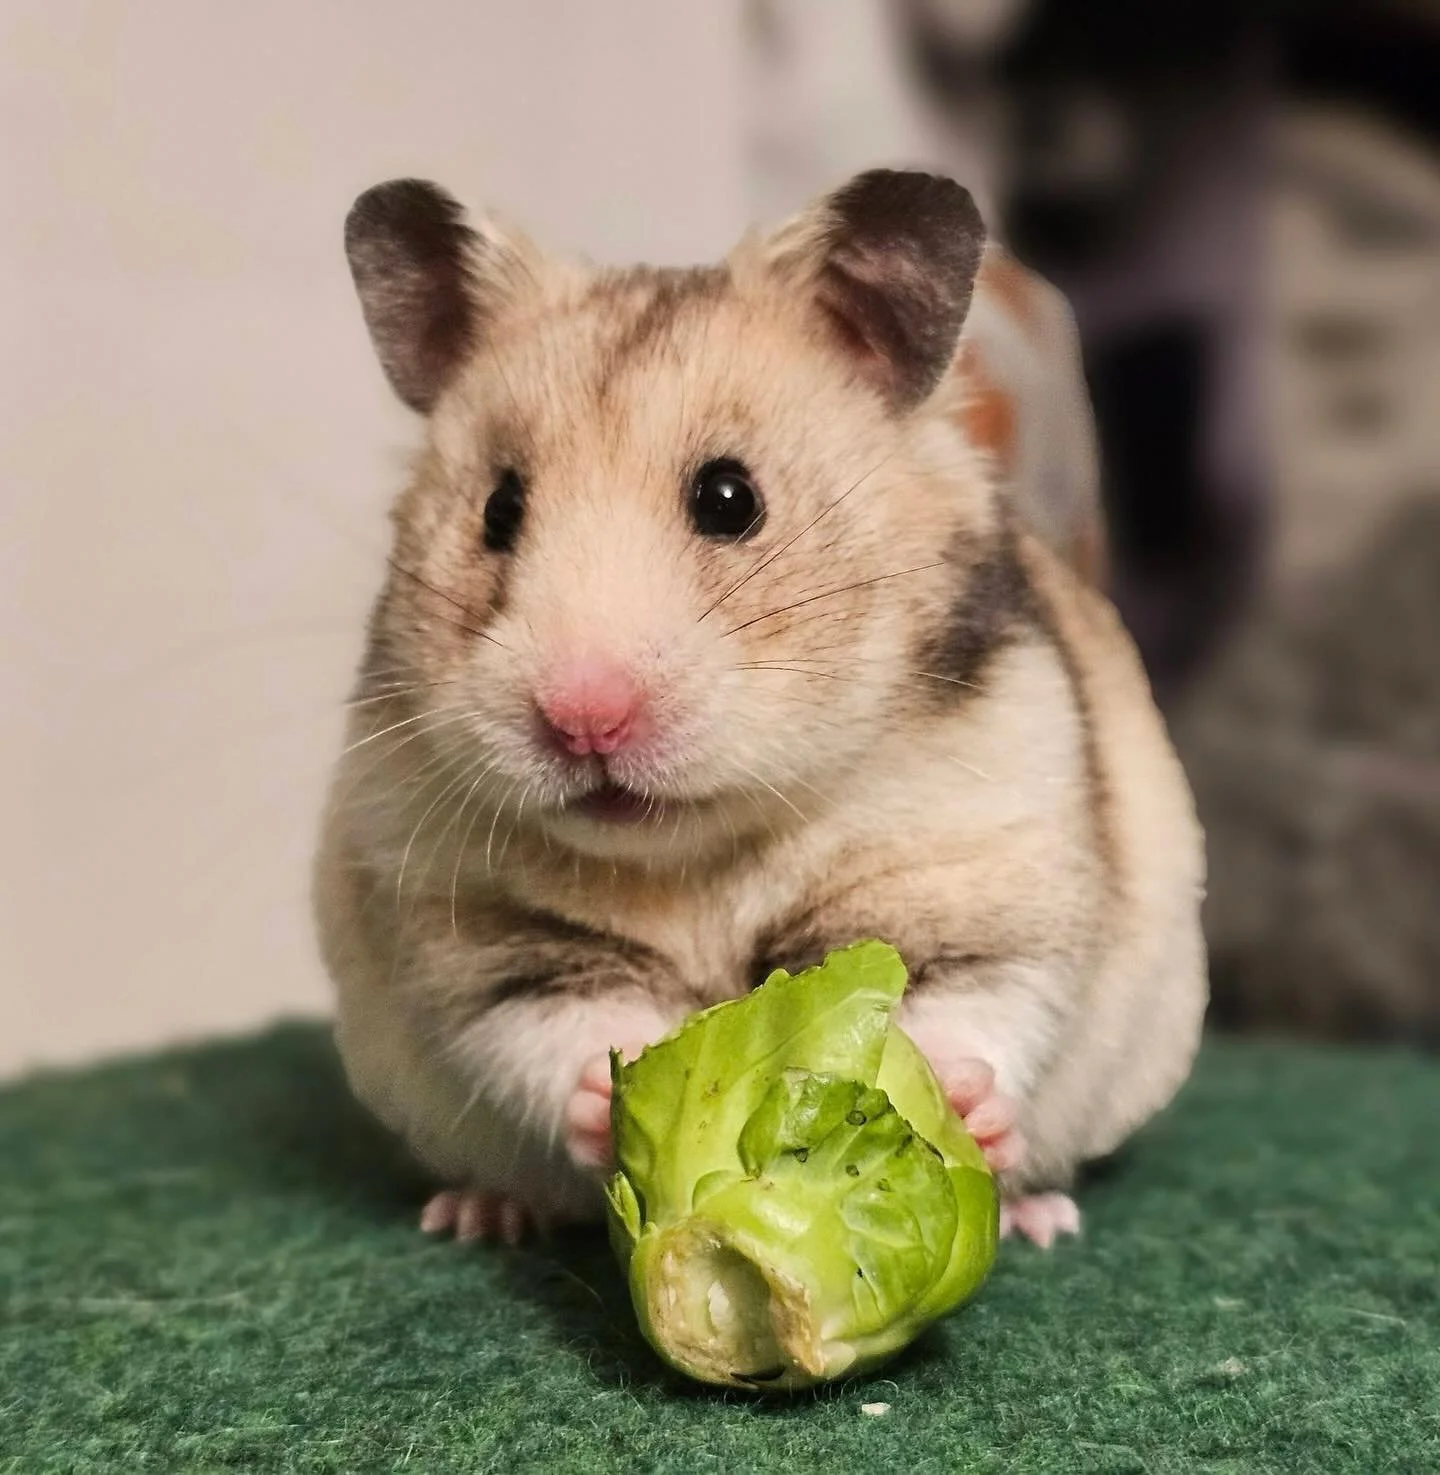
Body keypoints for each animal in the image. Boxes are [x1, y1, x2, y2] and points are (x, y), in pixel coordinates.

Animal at [313, 169, 1206, 1249]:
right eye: (499, 509)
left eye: (730, 498)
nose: (581, 719)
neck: (696, 848)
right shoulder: (490, 935)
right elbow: (544, 1026)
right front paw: (607, 1096)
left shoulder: (982, 878)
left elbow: (984, 999)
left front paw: (961, 1104)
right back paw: (478, 1214)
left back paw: (1043, 1216)